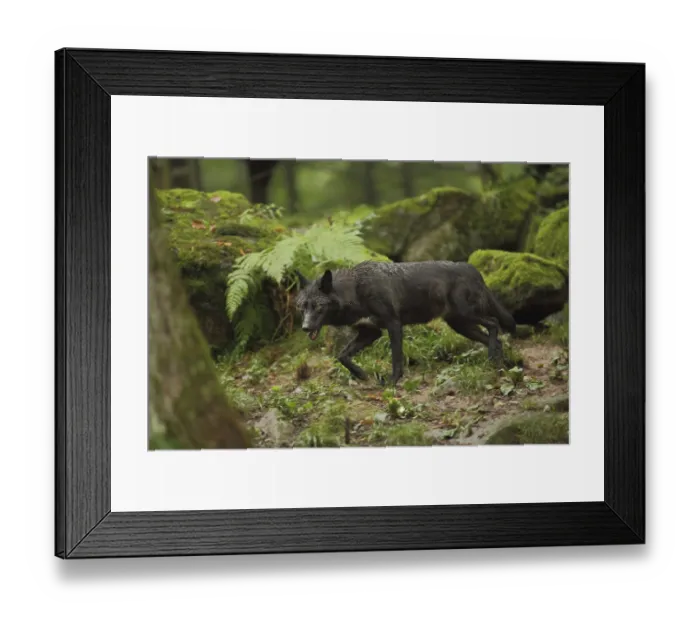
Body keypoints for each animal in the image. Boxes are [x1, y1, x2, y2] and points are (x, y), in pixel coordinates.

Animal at [295, 260, 517, 386]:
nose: (305, 327)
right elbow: (342, 356)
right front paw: (361, 375)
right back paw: (501, 366)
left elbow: (396, 358)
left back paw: (493, 359)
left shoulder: (393, 324)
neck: (355, 290)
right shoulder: (370, 333)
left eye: (318, 307)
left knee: (494, 323)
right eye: (302, 307)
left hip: (466, 316)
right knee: (496, 339)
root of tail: (474, 270)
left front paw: (392, 382)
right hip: (461, 325)